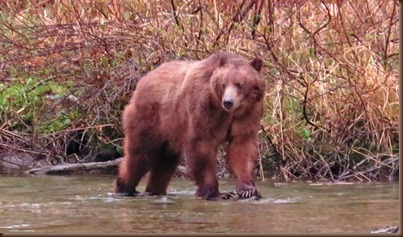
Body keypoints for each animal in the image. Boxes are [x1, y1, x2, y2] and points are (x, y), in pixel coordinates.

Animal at [114, 51, 266, 200]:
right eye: (223, 84)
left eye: (239, 84)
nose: (228, 102)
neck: (228, 112)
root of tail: (143, 80)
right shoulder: (204, 110)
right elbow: (201, 148)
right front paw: (217, 193)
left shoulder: (247, 115)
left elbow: (241, 148)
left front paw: (248, 190)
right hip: (151, 119)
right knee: (141, 155)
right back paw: (125, 189)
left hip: (170, 131)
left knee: (166, 162)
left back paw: (155, 190)